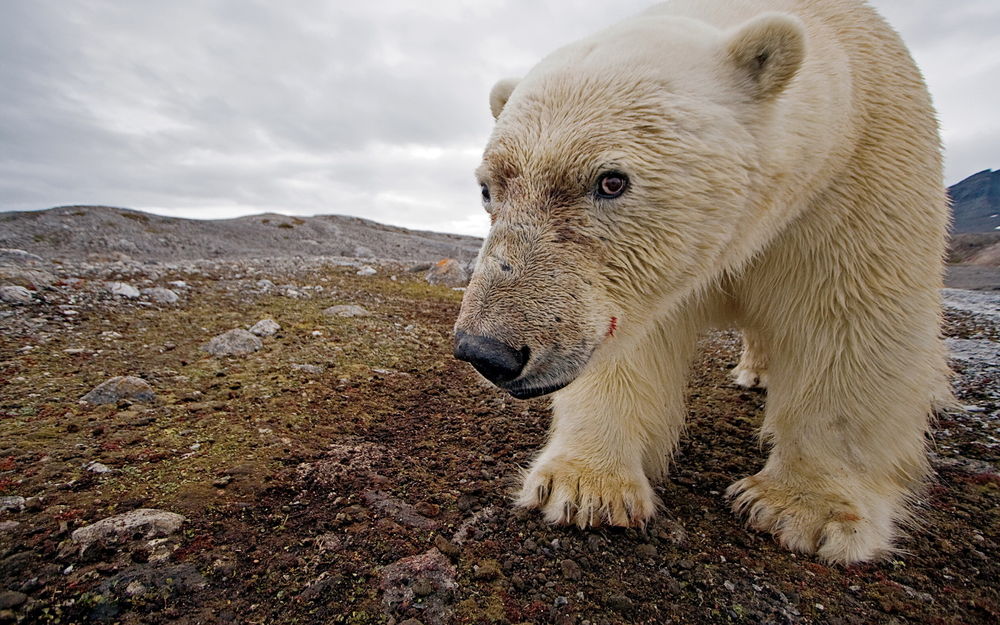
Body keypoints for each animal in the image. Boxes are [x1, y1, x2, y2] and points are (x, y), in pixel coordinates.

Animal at [453, 0, 951, 565]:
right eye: (488, 188)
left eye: (611, 181)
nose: (486, 350)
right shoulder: (645, 280)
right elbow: (634, 343)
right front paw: (584, 487)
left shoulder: (856, 178)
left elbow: (851, 323)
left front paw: (804, 511)